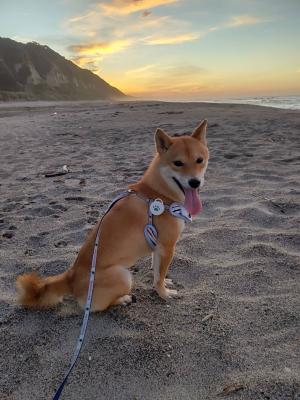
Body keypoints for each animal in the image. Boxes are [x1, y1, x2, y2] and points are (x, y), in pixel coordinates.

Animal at [16, 120, 209, 310]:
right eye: (178, 163)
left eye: (200, 160)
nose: (195, 182)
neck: (157, 192)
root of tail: (71, 277)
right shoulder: (168, 247)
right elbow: (159, 276)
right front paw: (164, 293)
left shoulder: (158, 247)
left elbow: (156, 271)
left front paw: (162, 283)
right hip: (123, 276)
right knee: (99, 306)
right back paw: (123, 299)